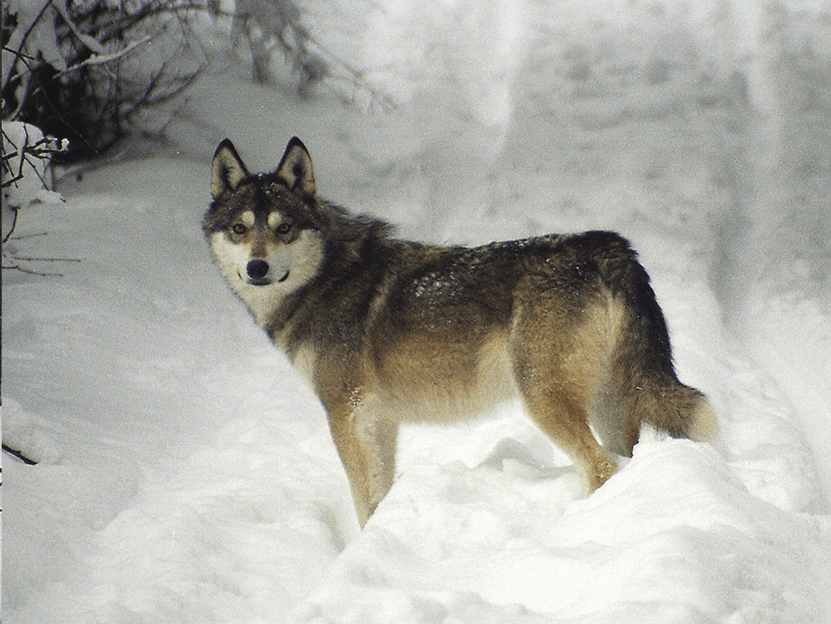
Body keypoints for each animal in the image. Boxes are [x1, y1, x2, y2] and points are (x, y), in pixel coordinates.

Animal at [204, 137, 717, 527]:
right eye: (239, 229)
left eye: (284, 228)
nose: (257, 268)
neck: (327, 278)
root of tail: (605, 245)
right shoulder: (380, 420)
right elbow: (379, 495)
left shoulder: (345, 416)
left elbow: (363, 502)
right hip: (611, 403)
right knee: (624, 461)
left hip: (544, 399)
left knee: (603, 468)